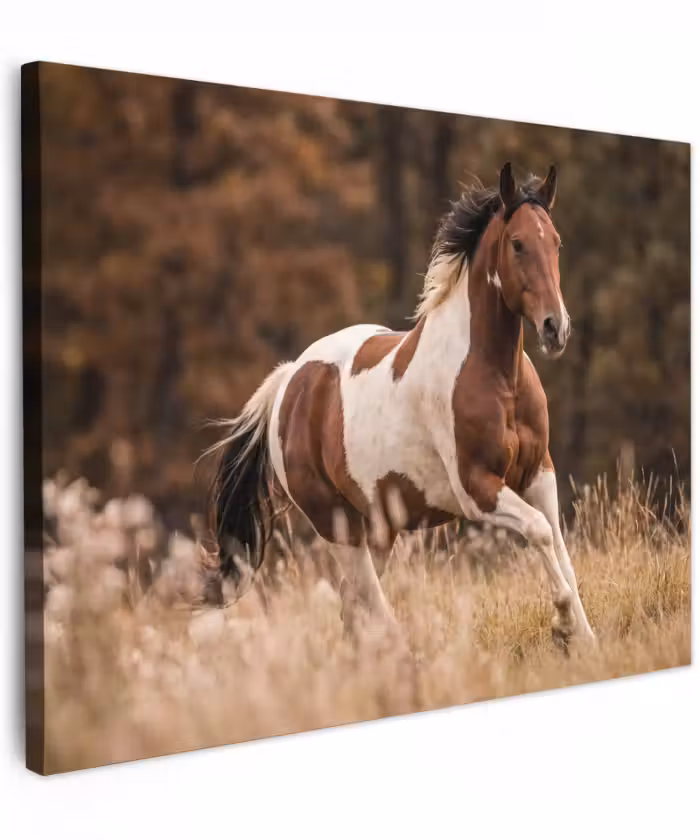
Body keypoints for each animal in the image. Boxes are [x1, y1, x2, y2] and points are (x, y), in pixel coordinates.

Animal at [205, 162, 596, 647]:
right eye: (518, 243)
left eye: (556, 242)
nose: (554, 328)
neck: (496, 377)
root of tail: (289, 381)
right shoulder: (478, 490)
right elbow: (541, 533)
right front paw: (562, 623)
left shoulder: (538, 473)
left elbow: (561, 550)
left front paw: (586, 638)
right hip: (339, 526)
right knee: (369, 605)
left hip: (379, 528)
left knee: (353, 609)